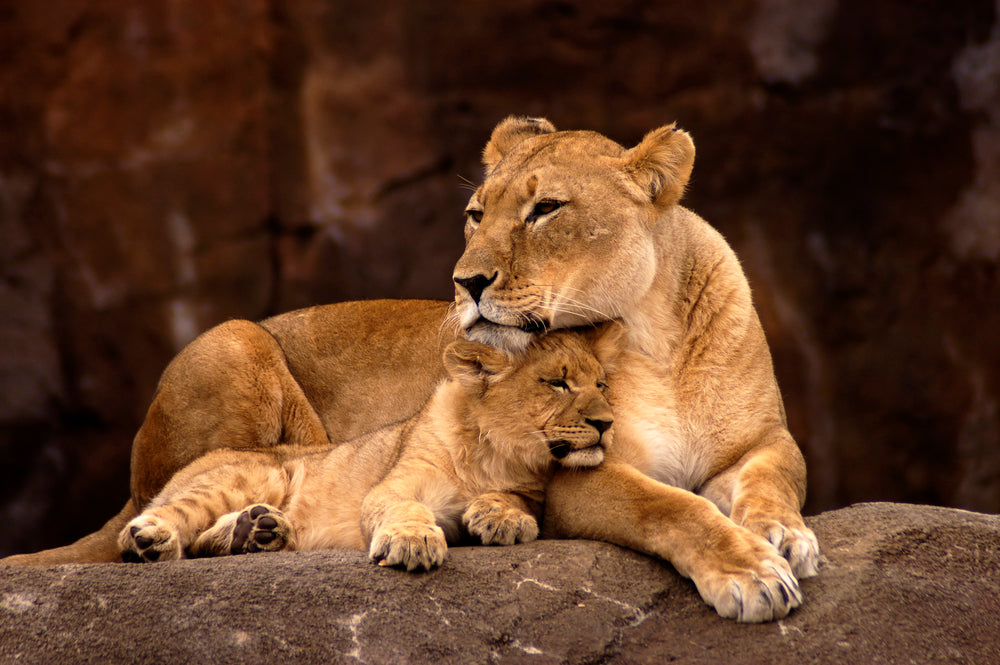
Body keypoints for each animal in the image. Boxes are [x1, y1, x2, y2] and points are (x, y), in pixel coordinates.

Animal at [118, 327, 622, 572]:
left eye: (601, 385)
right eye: (557, 383)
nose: (607, 423)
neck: (495, 453)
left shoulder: (533, 490)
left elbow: (519, 500)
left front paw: (501, 517)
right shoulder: (392, 486)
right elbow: (404, 508)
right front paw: (413, 542)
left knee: (204, 540)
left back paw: (258, 531)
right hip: (254, 473)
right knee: (171, 519)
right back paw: (152, 540)